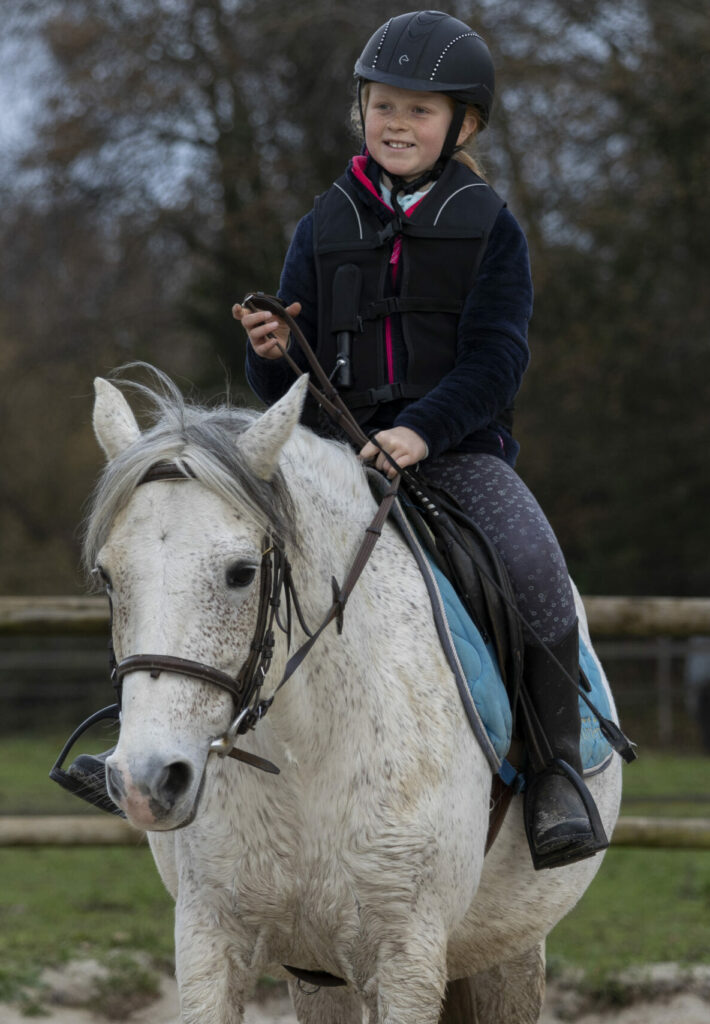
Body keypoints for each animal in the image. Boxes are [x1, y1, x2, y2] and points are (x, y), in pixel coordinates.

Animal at [87, 370, 618, 1024]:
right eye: (108, 578)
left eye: (241, 572)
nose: (146, 781)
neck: (305, 756)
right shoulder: (210, 942)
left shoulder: (407, 963)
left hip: (510, 948)